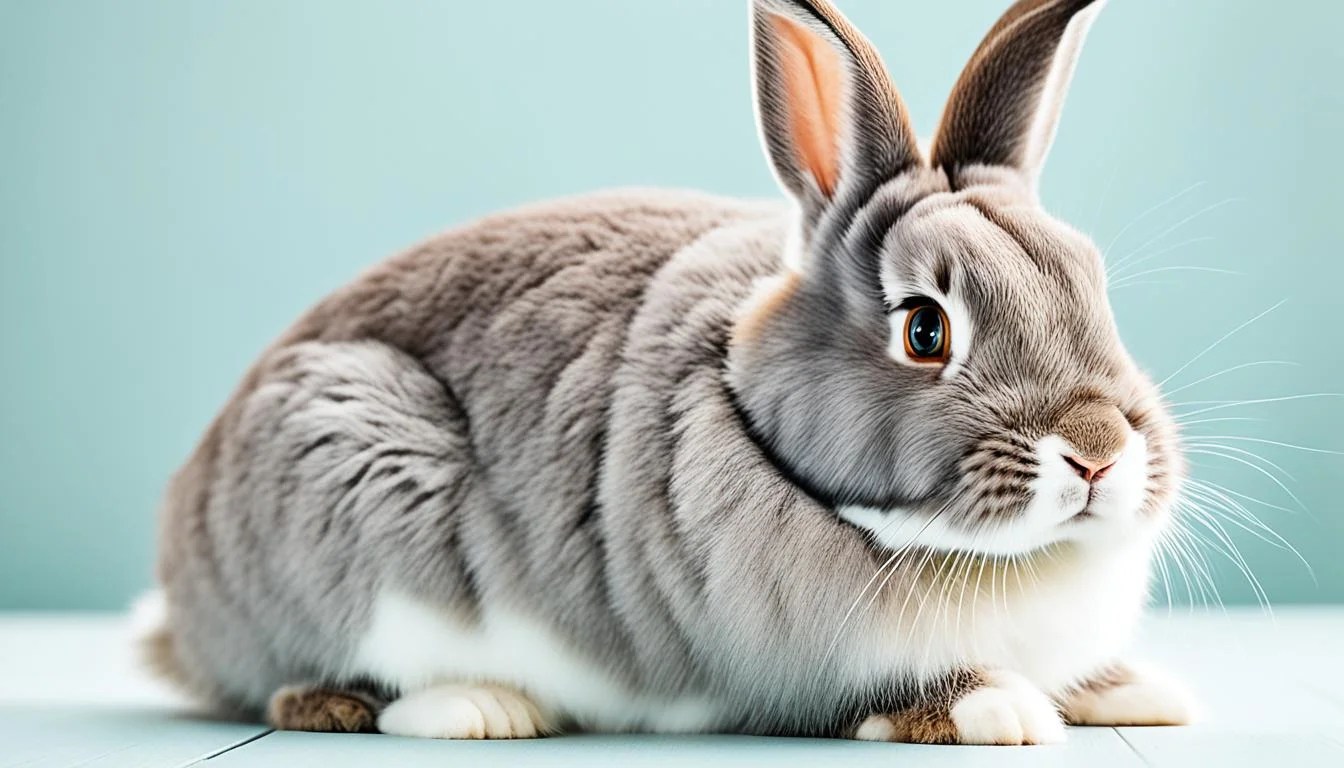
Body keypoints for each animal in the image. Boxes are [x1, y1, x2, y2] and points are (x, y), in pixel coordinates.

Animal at [142, 0, 1199, 745]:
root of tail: (186, 612)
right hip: (353, 487)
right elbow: (893, 695)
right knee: (313, 692)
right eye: (926, 330)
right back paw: (483, 708)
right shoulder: (798, 670)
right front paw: (1004, 711)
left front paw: (1143, 691)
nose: (1100, 453)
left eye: (1091, 285)